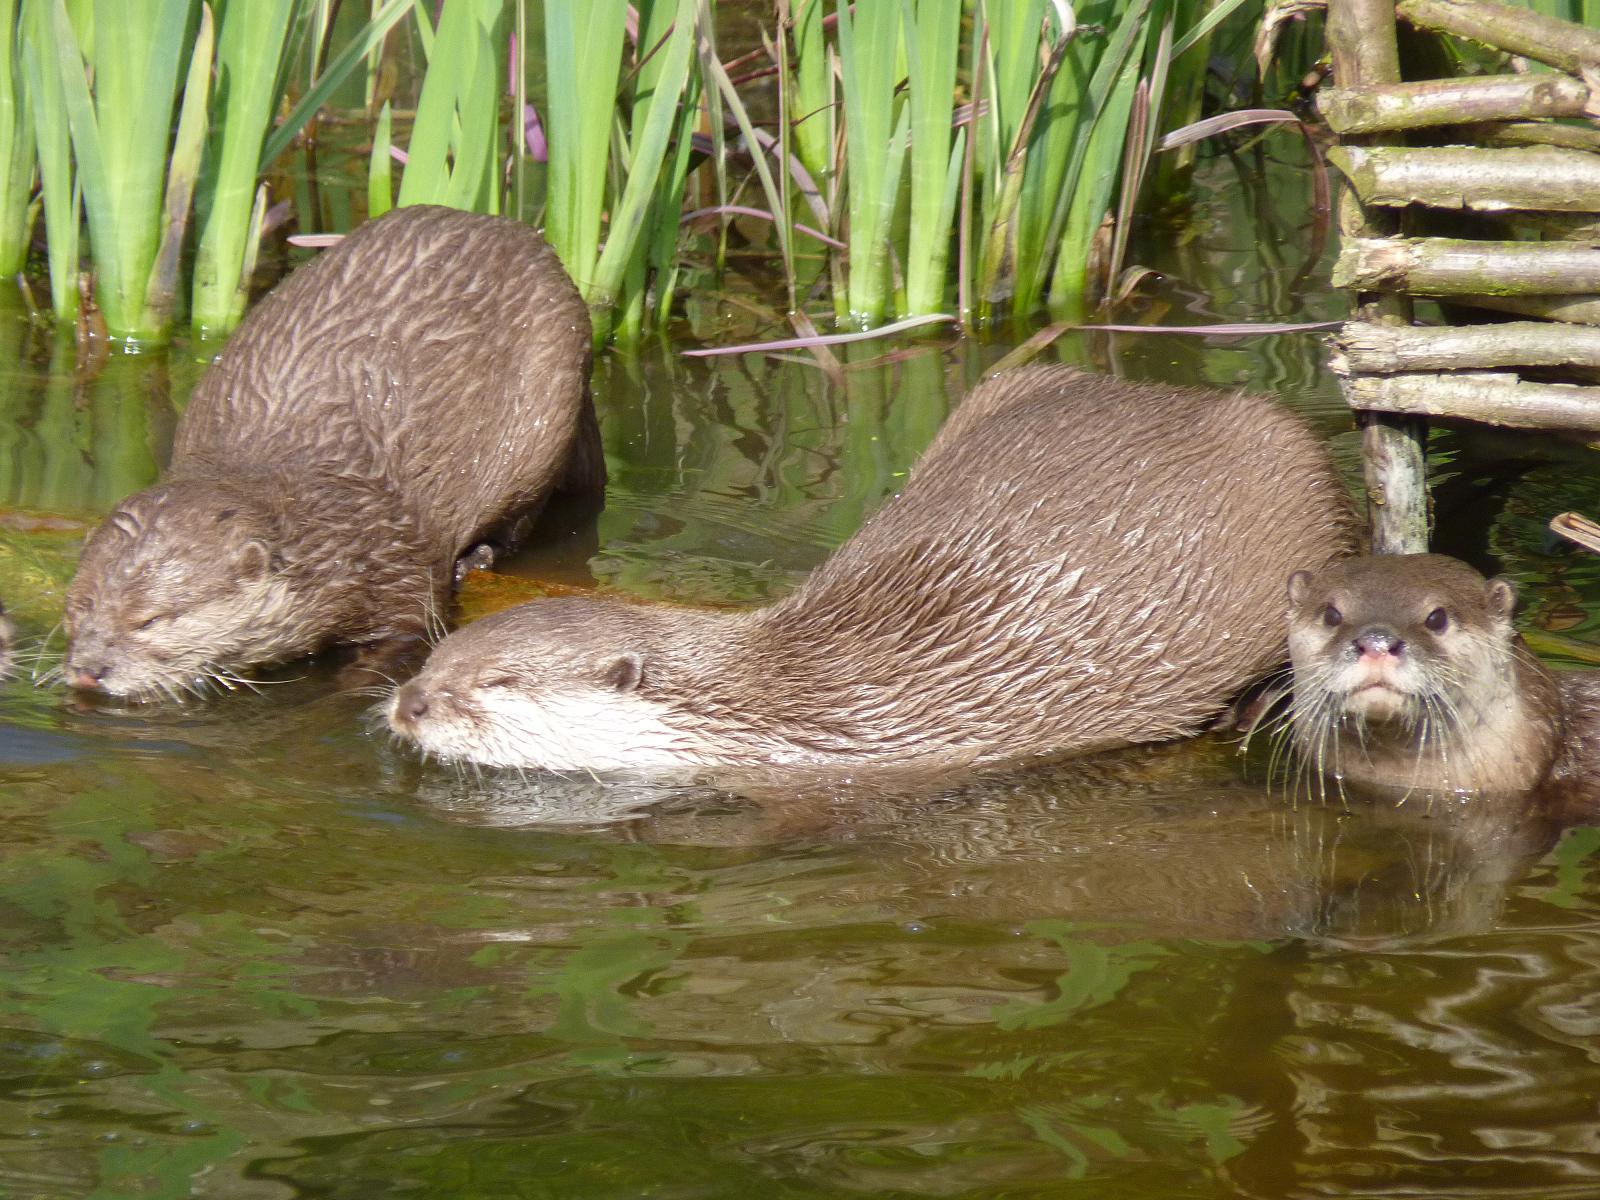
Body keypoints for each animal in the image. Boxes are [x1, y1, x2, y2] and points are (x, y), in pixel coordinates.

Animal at [63, 205, 602, 700]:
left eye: (151, 620)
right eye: (81, 606)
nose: (90, 670)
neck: (333, 528)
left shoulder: (396, 556)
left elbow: (414, 627)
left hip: (545, 416)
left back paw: (478, 556)